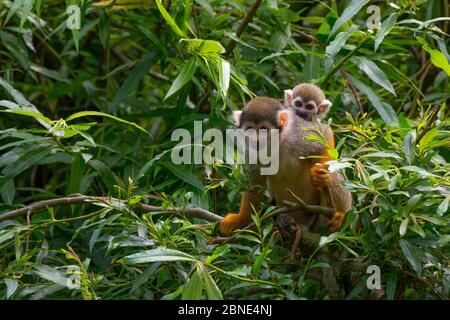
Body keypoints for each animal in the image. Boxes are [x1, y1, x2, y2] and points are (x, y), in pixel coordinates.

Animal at [220, 95, 354, 235]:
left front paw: (319, 174)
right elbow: (255, 183)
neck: (275, 142)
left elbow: (324, 134)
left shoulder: (296, 135)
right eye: (250, 130)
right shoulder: (250, 150)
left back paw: (342, 215)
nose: (256, 140)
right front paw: (241, 219)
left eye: (263, 129)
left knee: (333, 173)